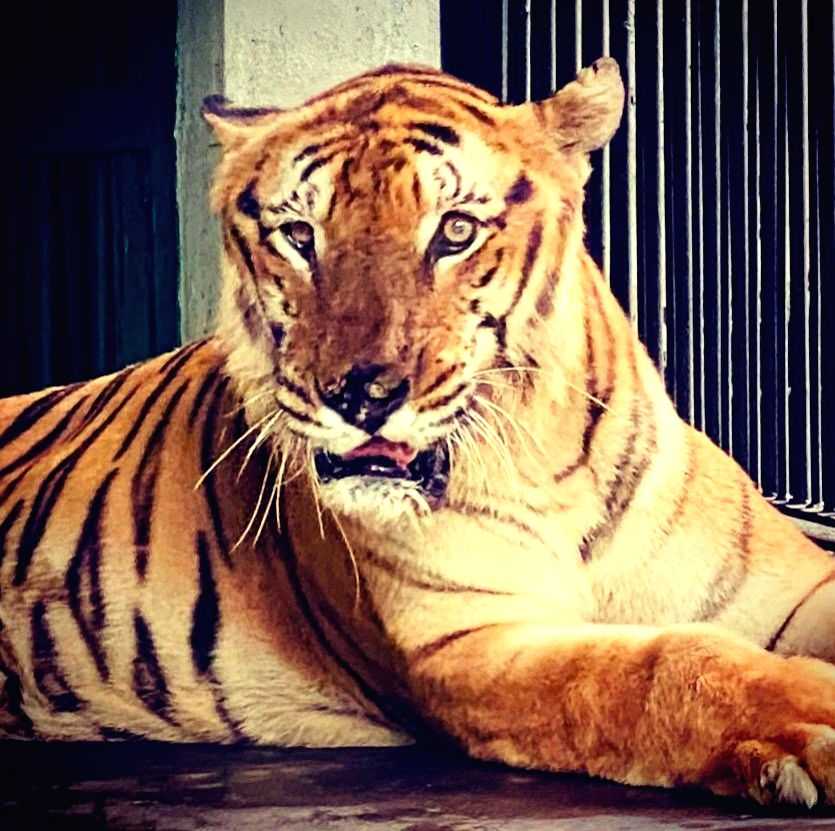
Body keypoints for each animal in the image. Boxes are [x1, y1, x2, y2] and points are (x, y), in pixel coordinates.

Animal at [0, 56, 834, 809]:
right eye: (298, 235)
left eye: (455, 230)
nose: (359, 394)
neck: (548, 461)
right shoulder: (466, 641)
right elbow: (655, 667)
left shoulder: (789, 590)